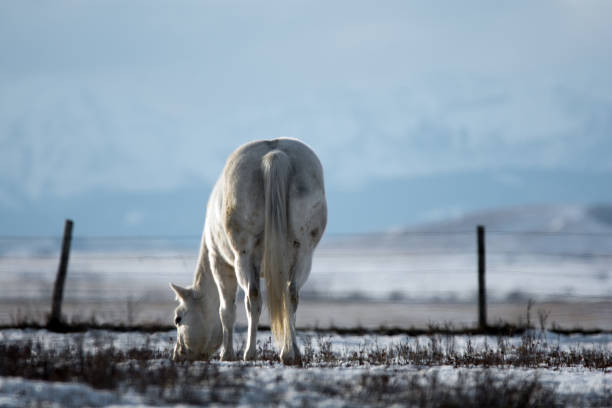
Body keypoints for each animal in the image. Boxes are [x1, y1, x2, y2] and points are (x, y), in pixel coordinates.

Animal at [170, 138, 328, 364]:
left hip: (243, 258)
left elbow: (226, 310)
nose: (178, 355)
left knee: (252, 298)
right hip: (304, 254)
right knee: (291, 295)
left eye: (178, 318)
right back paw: (289, 353)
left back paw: (249, 352)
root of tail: (274, 155)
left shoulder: (220, 263)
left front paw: (226, 354)